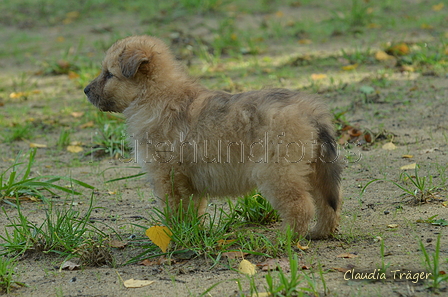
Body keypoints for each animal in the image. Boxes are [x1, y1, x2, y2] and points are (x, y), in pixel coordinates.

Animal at [85, 34, 344, 238]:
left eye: (108, 74)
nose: (86, 90)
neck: (155, 94)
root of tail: (309, 110)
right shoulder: (188, 181)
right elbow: (193, 209)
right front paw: (190, 233)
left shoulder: (166, 176)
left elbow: (173, 208)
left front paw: (173, 234)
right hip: (314, 170)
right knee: (328, 203)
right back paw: (320, 232)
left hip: (277, 172)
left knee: (300, 206)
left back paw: (284, 239)